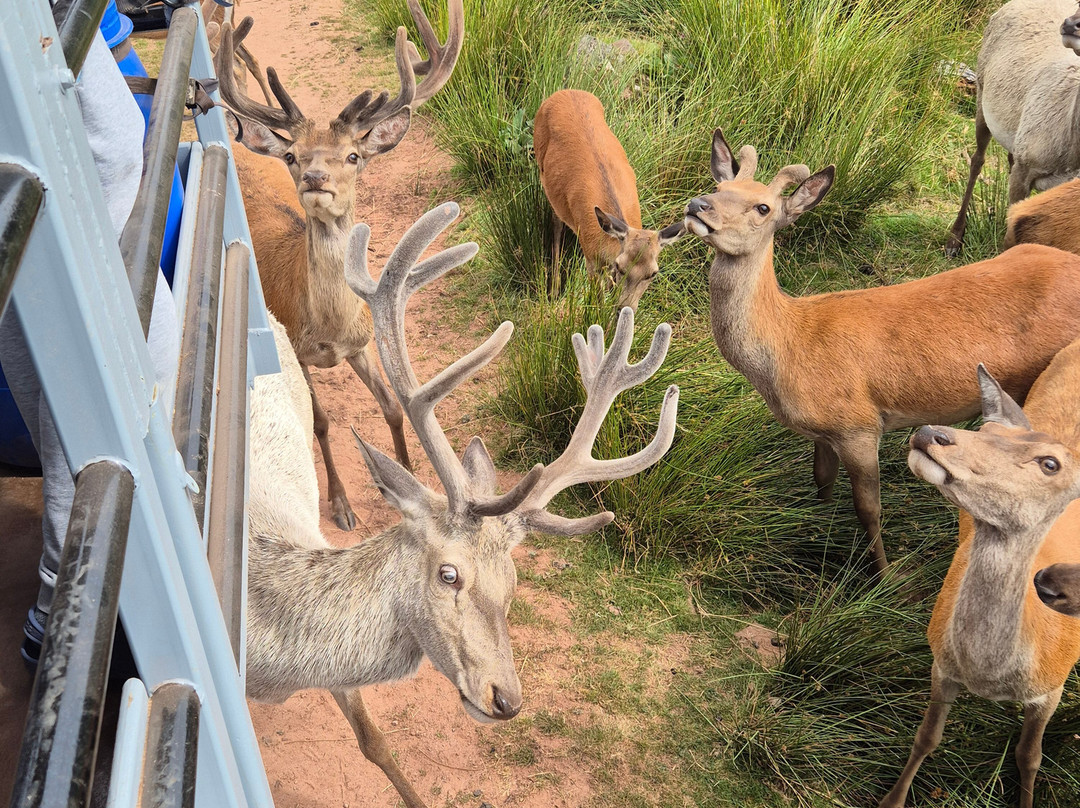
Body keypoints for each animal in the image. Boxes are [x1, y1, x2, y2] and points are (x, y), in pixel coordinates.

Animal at [213, 1, 464, 530]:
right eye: (292, 154)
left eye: (353, 155)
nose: (313, 177)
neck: (326, 326)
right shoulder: (294, 347)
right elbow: (322, 421)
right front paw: (343, 505)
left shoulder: (361, 343)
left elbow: (392, 407)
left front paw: (408, 478)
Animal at [533, 89, 684, 312]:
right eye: (620, 266)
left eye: (653, 273)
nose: (626, 308)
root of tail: (565, 91)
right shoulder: (590, 258)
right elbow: (597, 299)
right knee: (556, 221)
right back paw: (554, 290)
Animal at [682, 128, 1080, 576]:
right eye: (719, 187)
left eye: (763, 207)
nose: (698, 204)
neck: (790, 343)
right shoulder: (824, 432)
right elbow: (821, 481)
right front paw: (819, 532)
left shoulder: (859, 425)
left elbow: (868, 508)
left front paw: (884, 575)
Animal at [878, 352, 1080, 808]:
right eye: (986, 430)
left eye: (1050, 464)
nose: (931, 432)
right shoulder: (940, 660)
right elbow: (926, 737)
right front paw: (891, 799)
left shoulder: (1053, 686)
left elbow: (1030, 757)